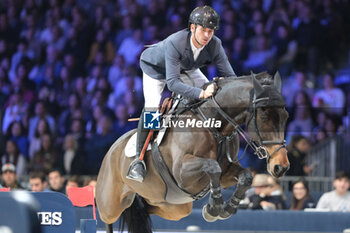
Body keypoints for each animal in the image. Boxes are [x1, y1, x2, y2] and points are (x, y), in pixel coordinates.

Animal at [95, 71, 290, 233]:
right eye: (263, 116)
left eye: (286, 116)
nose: (281, 167)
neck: (215, 126)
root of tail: (110, 151)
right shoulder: (182, 173)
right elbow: (212, 166)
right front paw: (213, 208)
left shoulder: (226, 172)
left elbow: (246, 176)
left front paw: (225, 208)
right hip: (110, 204)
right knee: (108, 218)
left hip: (174, 206)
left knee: (146, 210)